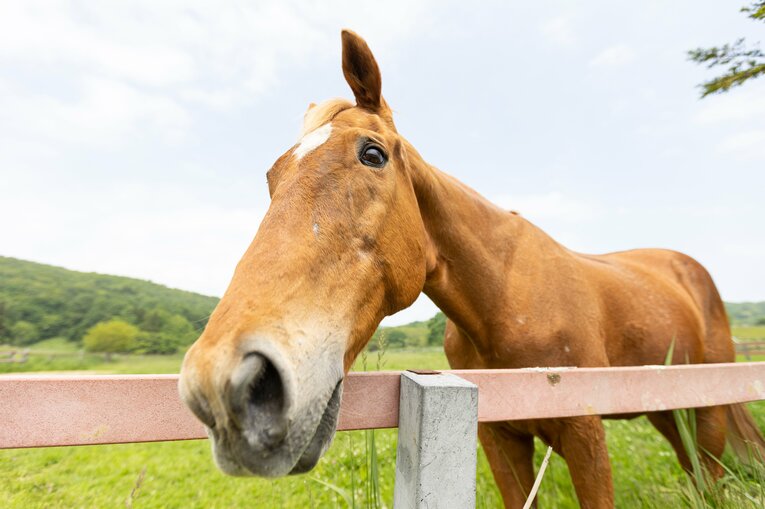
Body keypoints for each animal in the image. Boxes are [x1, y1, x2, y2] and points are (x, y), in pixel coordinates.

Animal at [178, 30, 765, 508]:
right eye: (272, 177)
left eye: (372, 154)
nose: (223, 385)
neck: (503, 302)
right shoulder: (500, 439)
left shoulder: (585, 434)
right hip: (672, 411)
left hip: (708, 411)